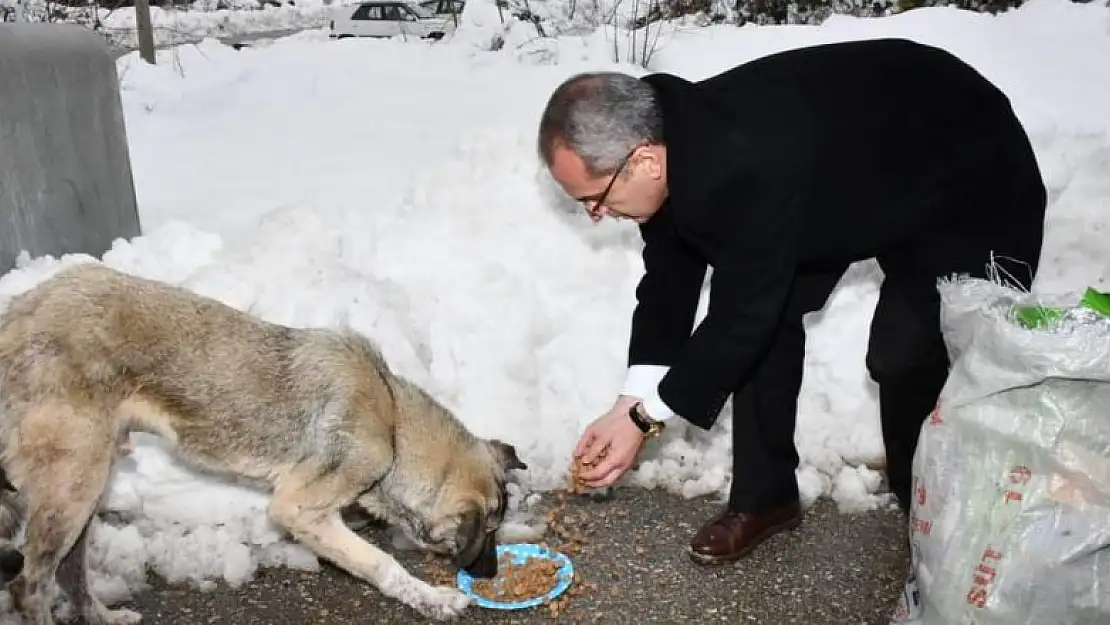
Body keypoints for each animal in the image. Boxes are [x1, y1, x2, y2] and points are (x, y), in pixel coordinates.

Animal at [0, 261, 528, 621]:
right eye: (487, 531)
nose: (489, 576)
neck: (393, 419)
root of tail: (16, 315)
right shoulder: (300, 508)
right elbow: (381, 563)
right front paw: (432, 599)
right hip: (77, 481)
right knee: (31, 583)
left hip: (94, 475)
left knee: (68, 569)